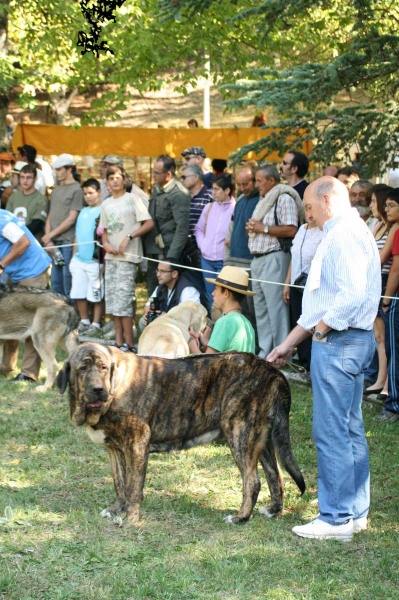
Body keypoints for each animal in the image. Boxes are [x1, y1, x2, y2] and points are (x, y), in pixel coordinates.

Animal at [57, 342, 306, 524]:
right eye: (82, 368)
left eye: (103, 368)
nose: (98, 390)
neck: (115, 386)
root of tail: (273, 371)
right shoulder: (115, 449)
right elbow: (120, 483)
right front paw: (117, 509)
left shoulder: (137, 444)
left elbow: (133, 486)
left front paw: (131, 517)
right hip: (261, 440)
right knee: (275, 476)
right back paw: (273, 510)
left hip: (239, 433)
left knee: (252, 482)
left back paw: (240, 518)